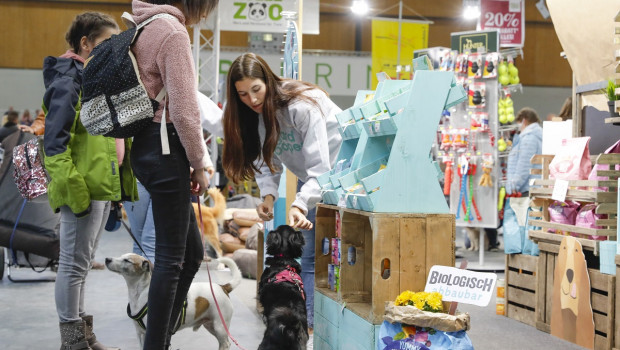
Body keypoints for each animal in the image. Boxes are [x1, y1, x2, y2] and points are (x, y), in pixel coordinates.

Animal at [104, 253, 240, 348]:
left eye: (127, 260)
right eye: (121, 256)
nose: (107, 259)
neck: (139, 294)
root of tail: (223, 287)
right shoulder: (140, 334)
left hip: (220, 326)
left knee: (226, 344)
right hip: (210, 325)